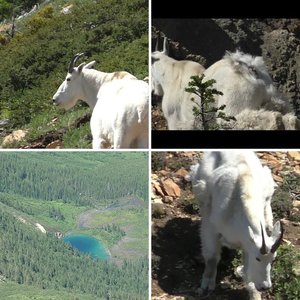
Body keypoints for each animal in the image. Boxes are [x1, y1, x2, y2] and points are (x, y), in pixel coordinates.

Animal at [188, 152, 284, 300]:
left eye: (273, 259)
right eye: (258, 258)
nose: (265, 286)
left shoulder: (247, 242)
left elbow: (247, 267)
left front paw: (254, 293)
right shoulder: (210, 227)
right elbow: (212, 257)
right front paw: (207, 284)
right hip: (199, 185)